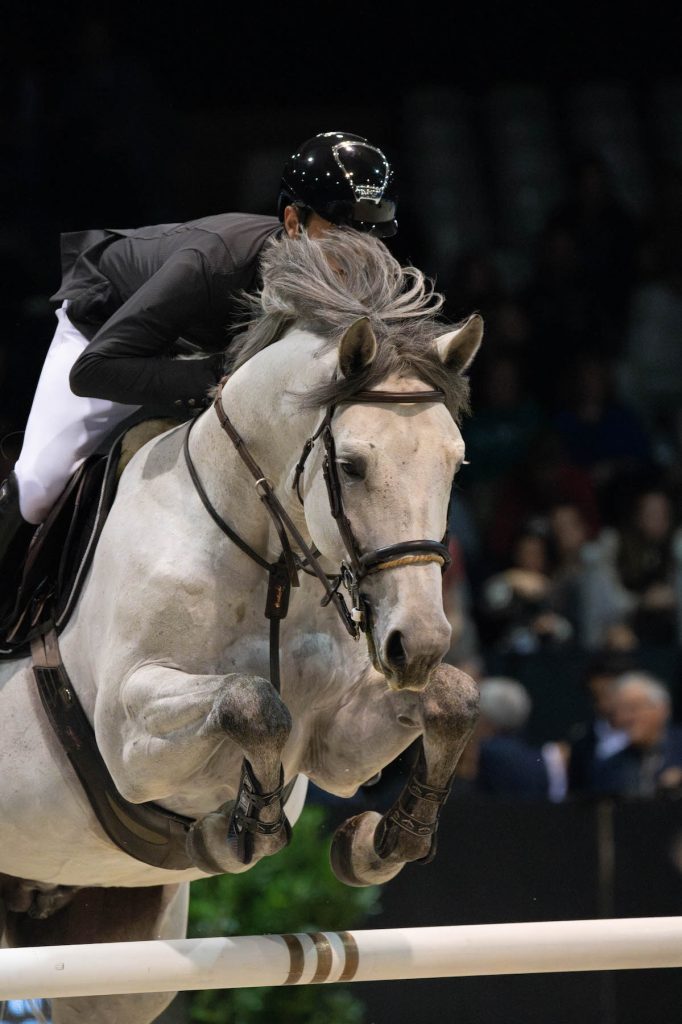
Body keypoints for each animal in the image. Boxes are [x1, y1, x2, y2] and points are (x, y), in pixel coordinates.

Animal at [0, 230, 482, 1024]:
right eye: (351, 465)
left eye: (456, 463)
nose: (416, 644)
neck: (269, 562)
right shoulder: (126, 738)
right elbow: (253, 702)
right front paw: (243, 831)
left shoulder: (338, 744)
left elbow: (452, 700)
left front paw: (380, 841)